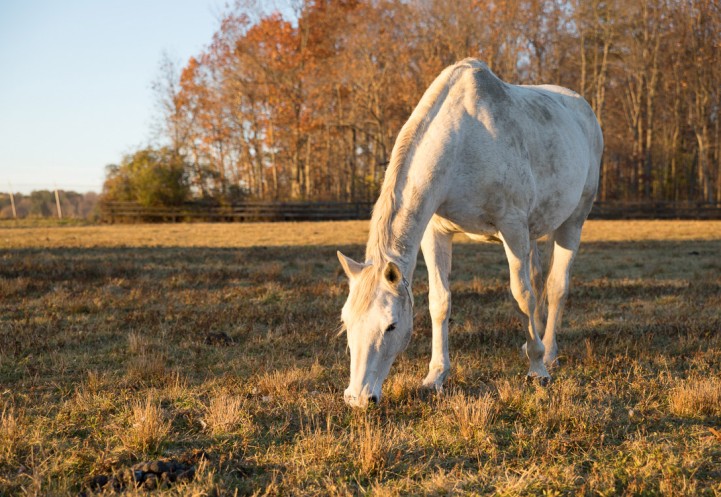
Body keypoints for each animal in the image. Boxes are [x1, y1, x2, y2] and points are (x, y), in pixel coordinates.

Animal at [337, 58, 603, 407]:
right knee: (538, 279)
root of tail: (583, 107)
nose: (358, 397)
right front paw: (435, 376)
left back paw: (548, 354)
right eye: (346, 322)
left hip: (572, 222)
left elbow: (522, 295)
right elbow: (440, 301)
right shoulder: (436, 232)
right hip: (533, 233)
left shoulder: (512, 227)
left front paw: (536, 369)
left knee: (556, 286)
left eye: (391, 326)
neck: (463, 141)